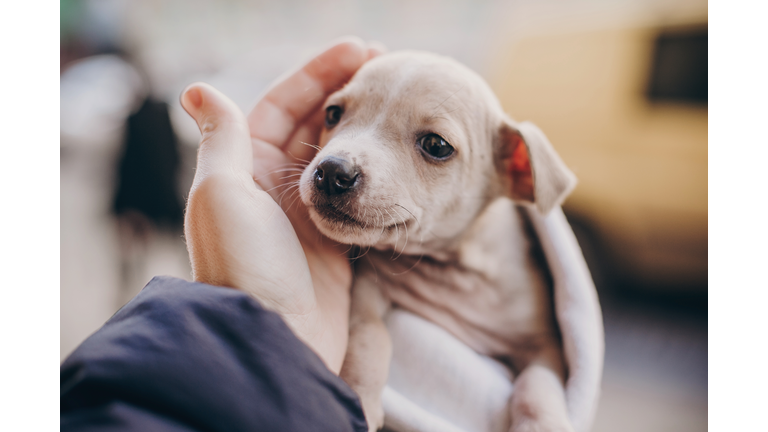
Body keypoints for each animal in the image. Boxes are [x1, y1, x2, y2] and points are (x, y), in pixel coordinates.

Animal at [296, 51, 580, 432]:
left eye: (436, 145)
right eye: (332, 114)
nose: (331, 172)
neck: (448, 267)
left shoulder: (547, 345)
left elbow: (538, 384)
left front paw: (541, 424)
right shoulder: (367, 291)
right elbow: (370, 336)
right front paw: (360, 396)